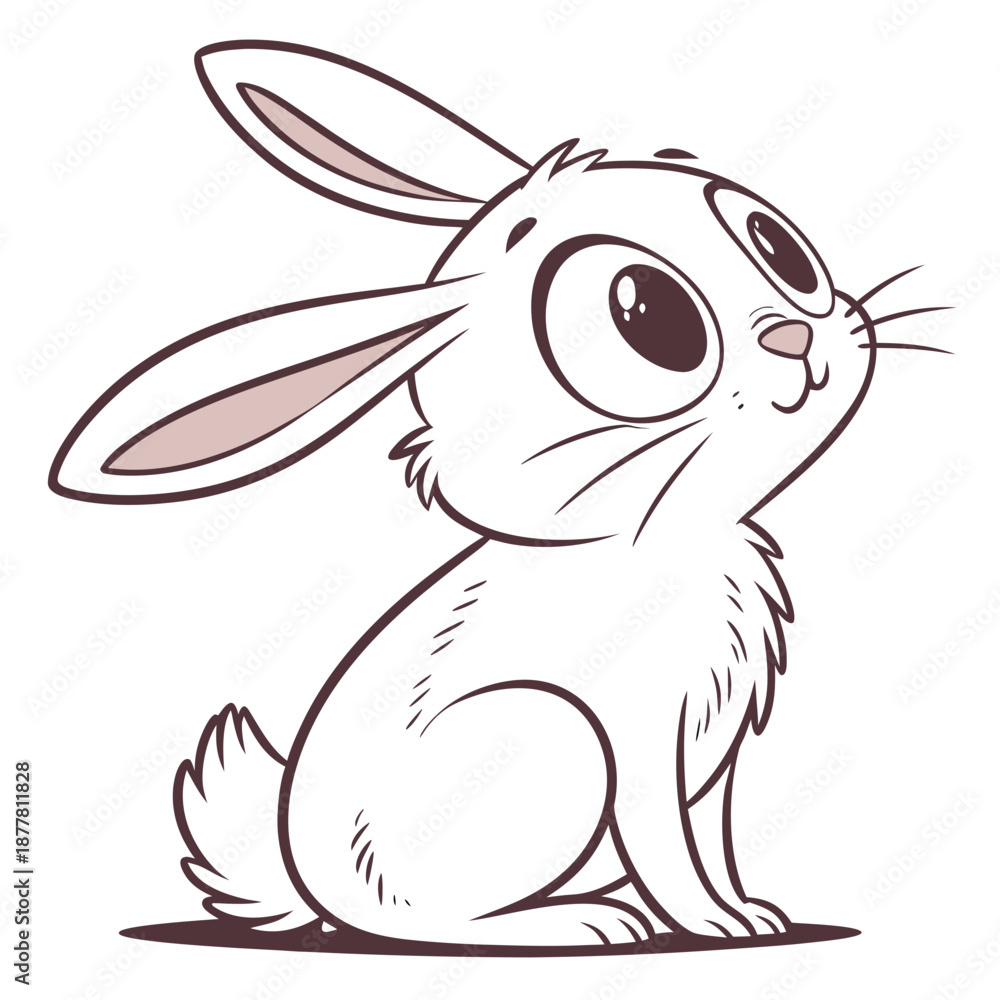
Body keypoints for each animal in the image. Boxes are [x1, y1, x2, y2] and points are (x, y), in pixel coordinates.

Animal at [50, 40, 946, 950]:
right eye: (649, 315)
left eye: (777, 245)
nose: (796, 336)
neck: (652, 540)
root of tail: (307, 878)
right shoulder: (639, 740)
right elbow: (668, 848)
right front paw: (711, 925)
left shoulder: (716, 756)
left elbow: (716, 842)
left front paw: (753, 913)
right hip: (554, 738)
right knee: (427, 925)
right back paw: (577, 923)